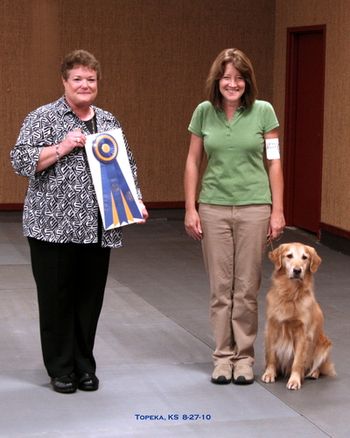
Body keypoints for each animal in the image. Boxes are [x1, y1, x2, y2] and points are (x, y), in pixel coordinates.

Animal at [262, 243, 334, 390]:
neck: (290, 294)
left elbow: (298, 361)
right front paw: (270, 373)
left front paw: (294, 380)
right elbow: (271, 355)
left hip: (324, 344)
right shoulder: (271, 327)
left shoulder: (303, 334)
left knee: (318, 366)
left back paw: (313, 373)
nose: (297, 270)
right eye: (289, 256)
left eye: (305, 257)